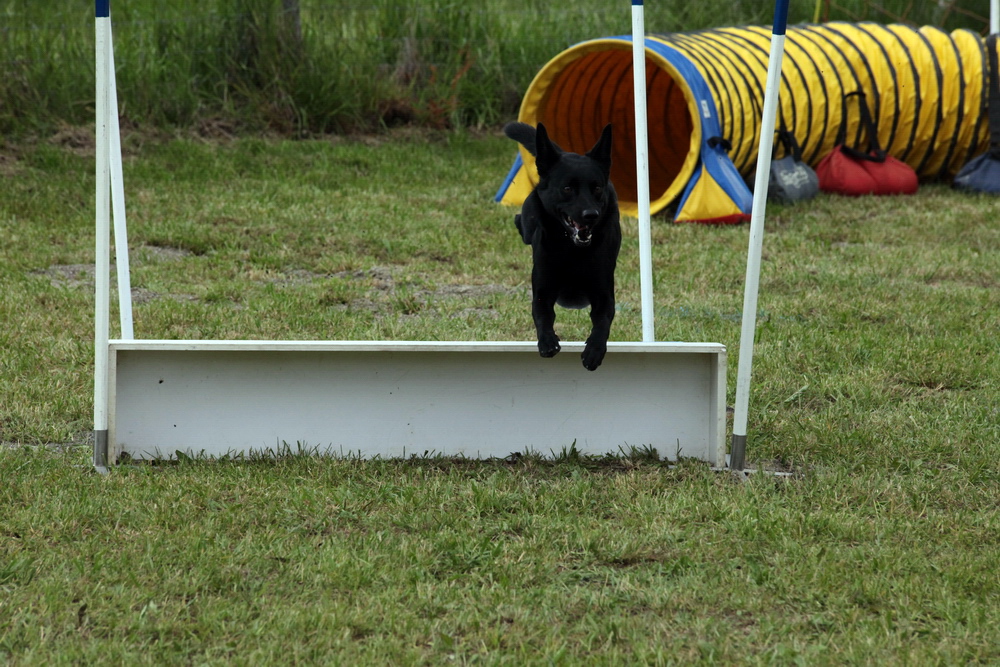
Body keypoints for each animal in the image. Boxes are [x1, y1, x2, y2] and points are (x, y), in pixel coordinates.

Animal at [503, 121, 621, 371]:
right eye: (567, 189)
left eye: (597, 188)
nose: (591, 215)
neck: (572, 251)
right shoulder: (543, 291)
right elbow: (542, 315)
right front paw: (548, 342)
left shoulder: (603, 294)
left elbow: (603, 322)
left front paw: (594, 352)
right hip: (529, 221)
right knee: (520, 221)